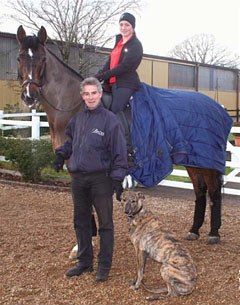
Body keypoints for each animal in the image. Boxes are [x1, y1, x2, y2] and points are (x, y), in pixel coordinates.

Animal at [16, 24, 227, 245]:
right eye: (19, 58)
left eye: (42, 59)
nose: (29, 95)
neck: (78, 106)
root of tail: (215, 106)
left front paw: (90, 241)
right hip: (193, 160)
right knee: (200, 191)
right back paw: (194, 230)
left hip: (206, 161)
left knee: (213, 192)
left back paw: (213, 233)